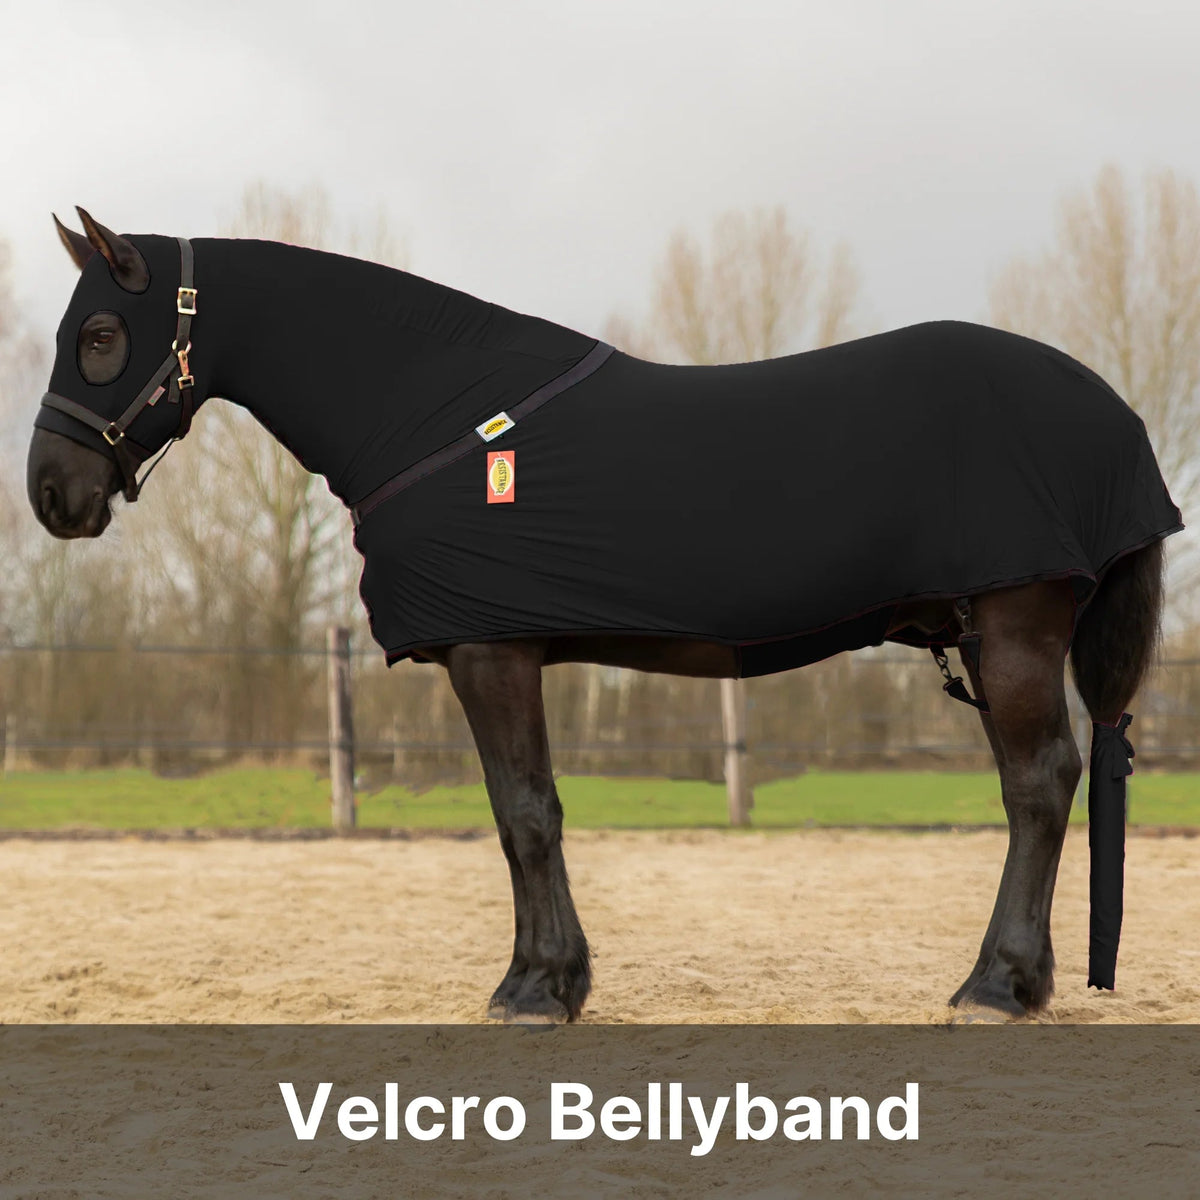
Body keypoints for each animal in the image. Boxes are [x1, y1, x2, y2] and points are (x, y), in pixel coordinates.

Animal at [27, 209, 1181, 1024]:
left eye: (101, 333)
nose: (52, 494)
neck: (439, 413)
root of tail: (1114, 415)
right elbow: (527, 814)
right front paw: (557, 979)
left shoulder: (490, 653)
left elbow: (525, 814)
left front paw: (536, 989)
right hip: (989, 639)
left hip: (1016, 631)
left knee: (1039, 786)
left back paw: (995, 987)